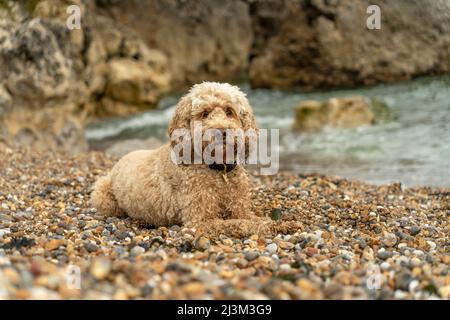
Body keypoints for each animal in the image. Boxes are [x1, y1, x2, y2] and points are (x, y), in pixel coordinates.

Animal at [90, 82, 302, 238]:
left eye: (229, 111)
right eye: (205, 113)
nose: (221, 131)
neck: (219, 171)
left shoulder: (240, 207)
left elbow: (252, 218)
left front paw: (282, 223)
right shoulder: (200, 221)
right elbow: (240, 224)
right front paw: (269, 227)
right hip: (103, 194)